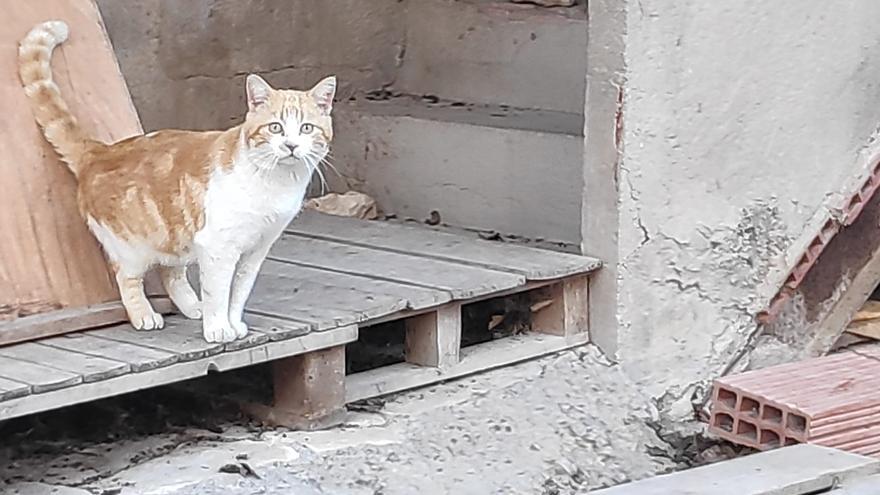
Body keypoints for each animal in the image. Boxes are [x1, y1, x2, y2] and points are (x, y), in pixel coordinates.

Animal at [21, 20, 336, 344]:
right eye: (275, 128)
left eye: (306, 128)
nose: (290, 146)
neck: (276, 183)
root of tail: (99, 151)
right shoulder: (218, 247)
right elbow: (218, 292)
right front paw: (218, 327)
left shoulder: (255, 250)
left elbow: (239, 292)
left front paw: (233, 323)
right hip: (132, 249)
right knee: (127, 277)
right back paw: (145, 315)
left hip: (175, 235)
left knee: (170, 273)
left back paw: (193, 306)